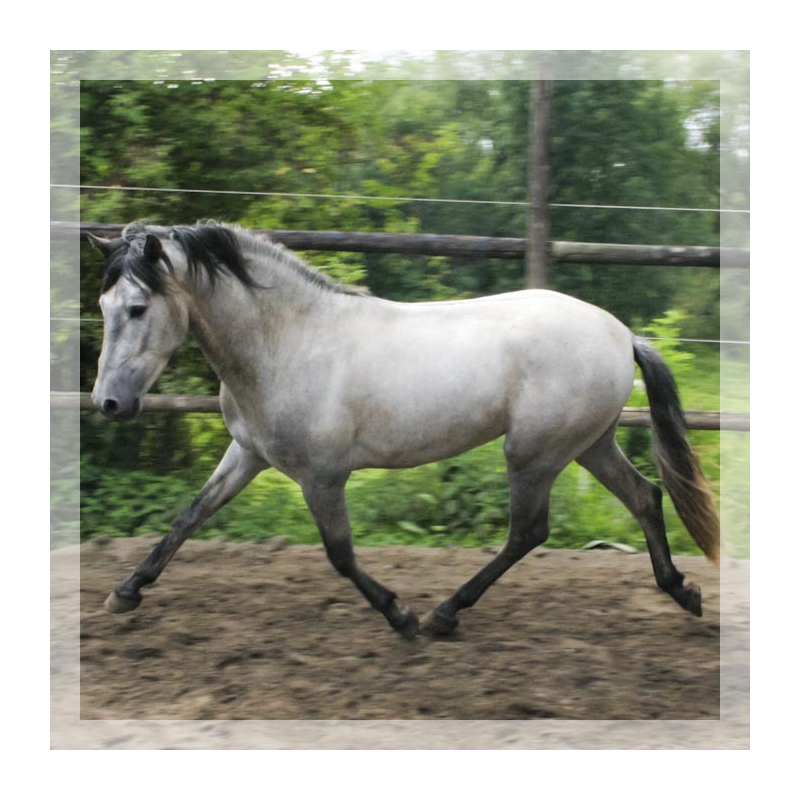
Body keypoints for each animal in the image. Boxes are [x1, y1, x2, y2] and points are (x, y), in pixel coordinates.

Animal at [87, 220, 719, 639]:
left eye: (138, 308)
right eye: (102, 304)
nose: (108, 403)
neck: (288, 343)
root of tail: (621, 333)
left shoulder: (322, 476)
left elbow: (341, 554)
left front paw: (402, 615)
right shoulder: (247, 454)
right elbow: (189, 516)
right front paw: (124, 593)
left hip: (534, 452)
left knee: (528, 532)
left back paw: (443, 613)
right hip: (589, 444)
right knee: (645, 496)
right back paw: (682, 591)